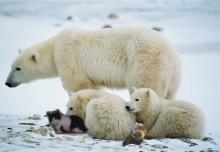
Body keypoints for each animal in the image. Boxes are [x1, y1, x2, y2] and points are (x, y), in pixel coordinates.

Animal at [5, 27, 180, 98]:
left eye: (18, 68)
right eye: (11, 66)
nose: (7, 83)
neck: (54, 48)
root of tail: (171, 53)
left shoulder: (68, 58)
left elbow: (78, 86)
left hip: (145, 63)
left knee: (145, 86)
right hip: (171, 77)